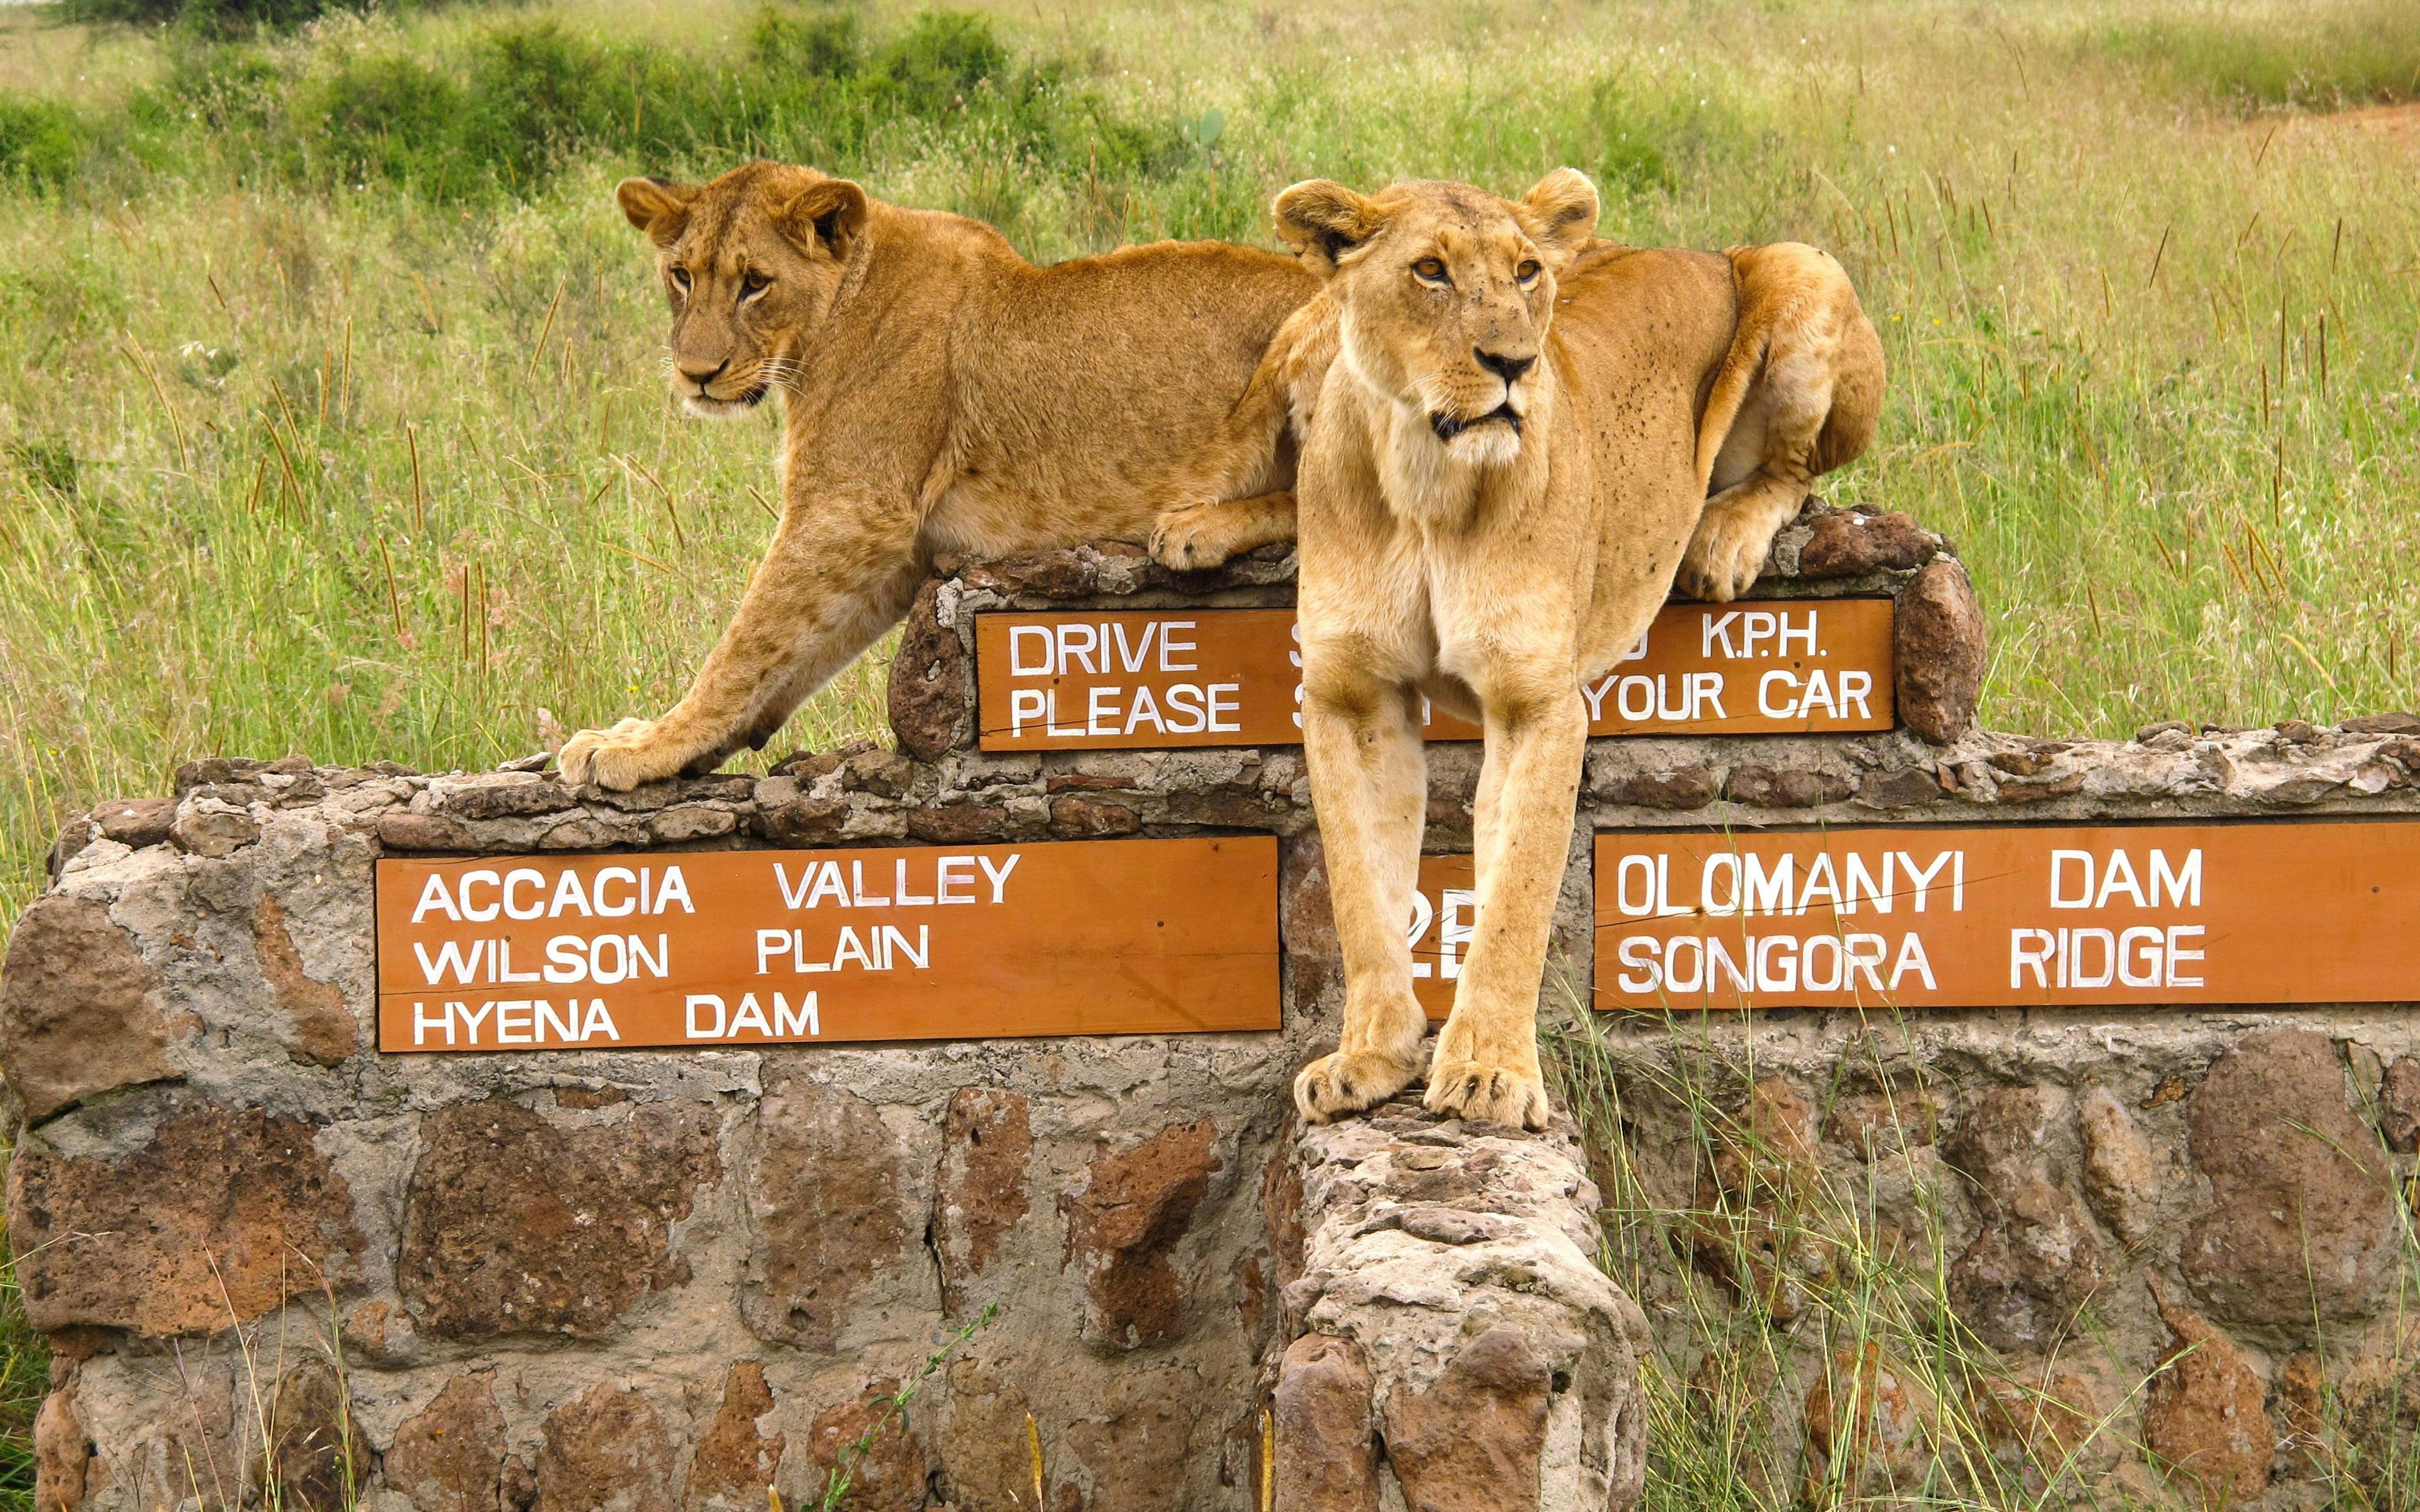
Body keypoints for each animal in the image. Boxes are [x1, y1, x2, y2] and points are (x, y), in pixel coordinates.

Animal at [557, 161, 1314, 789]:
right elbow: (790, 654)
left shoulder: (851, 511)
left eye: (755, 284)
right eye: (682, 275)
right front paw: (677, 743)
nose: (697, 374)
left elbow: (743, 644)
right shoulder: (902, 547)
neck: (838, 306)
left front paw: (643, 747)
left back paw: (1198, 526)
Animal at [1239, 171, 1883, 1129]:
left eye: (1527, 272)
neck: (1424, 484)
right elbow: (1361, 892)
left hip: (1804, 269)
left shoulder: (1536, 703)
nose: (1514, 364)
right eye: (1430, 270)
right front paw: (1369, 1058)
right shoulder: (1351, 697)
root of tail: (1704, 247)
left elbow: (1515, 898)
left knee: (1794, 472)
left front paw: (1488, 1074)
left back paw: (1722, 539)